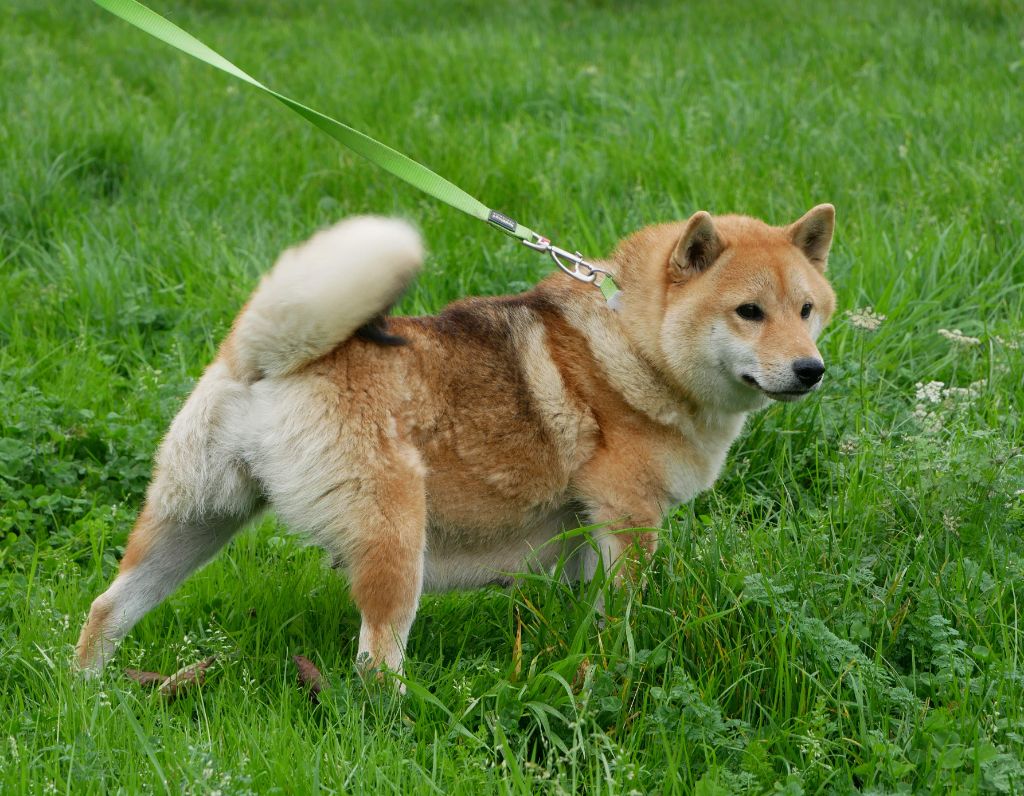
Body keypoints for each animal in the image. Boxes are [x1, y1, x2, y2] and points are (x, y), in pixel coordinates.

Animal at [75, 203, 835, 676]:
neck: (632, 340)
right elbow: (621, 618)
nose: (811, 370)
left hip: (193, 520)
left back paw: (89, 696)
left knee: (106, 610)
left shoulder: (579, 539)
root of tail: (271, 356)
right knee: (374, 664)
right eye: (748, 312)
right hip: (395, 543)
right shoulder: (628, 521)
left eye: (806, 311)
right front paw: (620, 664)